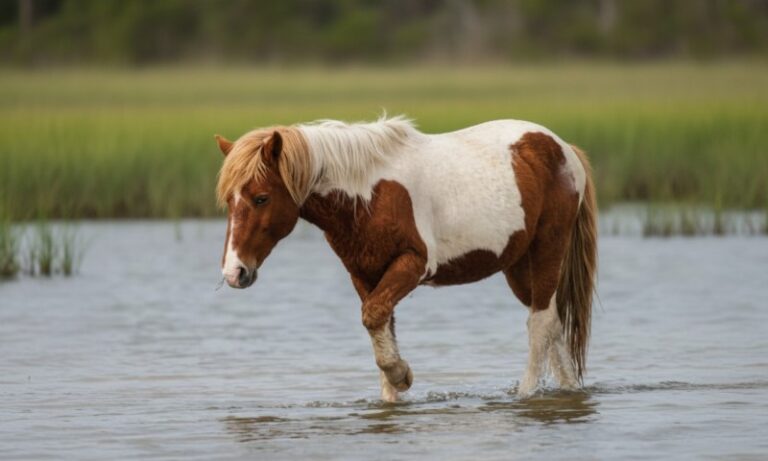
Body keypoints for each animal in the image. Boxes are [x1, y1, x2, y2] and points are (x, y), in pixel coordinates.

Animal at [214, 116, 597, 402]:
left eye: (261, 198)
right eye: (229, 201)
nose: (235, 272)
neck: (366, 196)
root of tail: (563, 148)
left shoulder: (412, 264)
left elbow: (373, 318)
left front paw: (402, 375)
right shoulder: (365, 274)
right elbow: (380, 325)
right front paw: (393, 393)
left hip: (548, 249)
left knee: (540, 324)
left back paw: (526, 394)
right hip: (518, 266)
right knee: (553, 323)